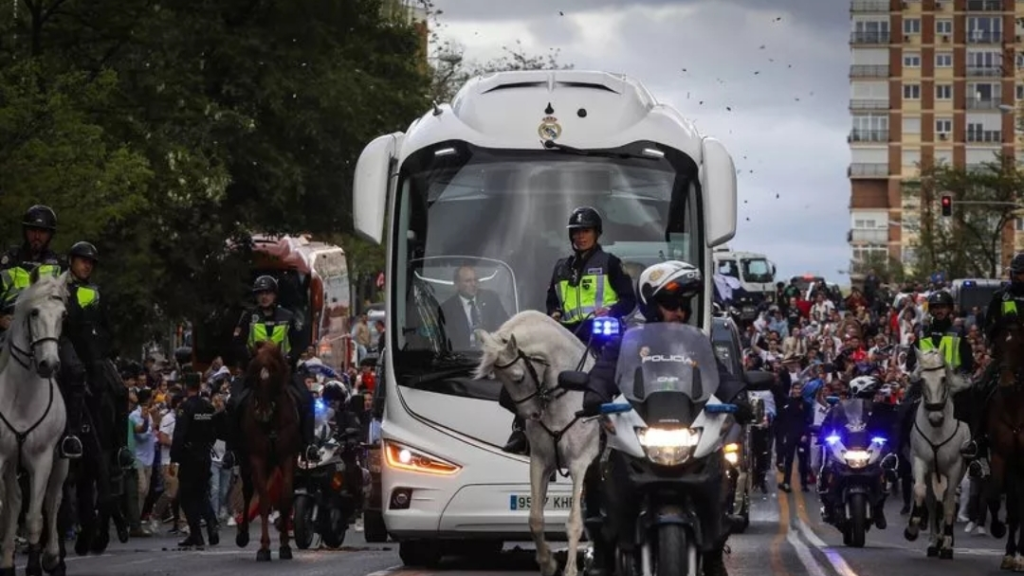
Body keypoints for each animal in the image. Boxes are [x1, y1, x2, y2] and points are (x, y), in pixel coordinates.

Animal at [231, 340, 296, 561]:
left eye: (274, 373)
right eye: (253, 374)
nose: (263, 412)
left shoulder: (287, 457)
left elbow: (285, 496)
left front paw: (284, 545)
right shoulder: (257, 458)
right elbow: (265, 500)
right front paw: (264, 547)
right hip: (245, 461)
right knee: (249, 491)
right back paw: (242, 535)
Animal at [475, 309, 602, 573]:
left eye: (519, 377)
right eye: (498, 378)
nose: (532, 416)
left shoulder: (580, 464)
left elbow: (574, 521)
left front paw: (570, 569)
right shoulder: (541, 462)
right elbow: (535, 518)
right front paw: (547, 563)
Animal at [909, 344, 970, 557]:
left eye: (943, 378)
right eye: (922, 380)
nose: (936, 418)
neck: (936, 431)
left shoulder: (954, 469)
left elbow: (950, 504)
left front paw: (947, 544)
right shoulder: (920, 462)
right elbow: (920, 491)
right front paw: (913, 527)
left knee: (946, 502)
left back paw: (945, 541)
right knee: (933, 503)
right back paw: (933, 541)